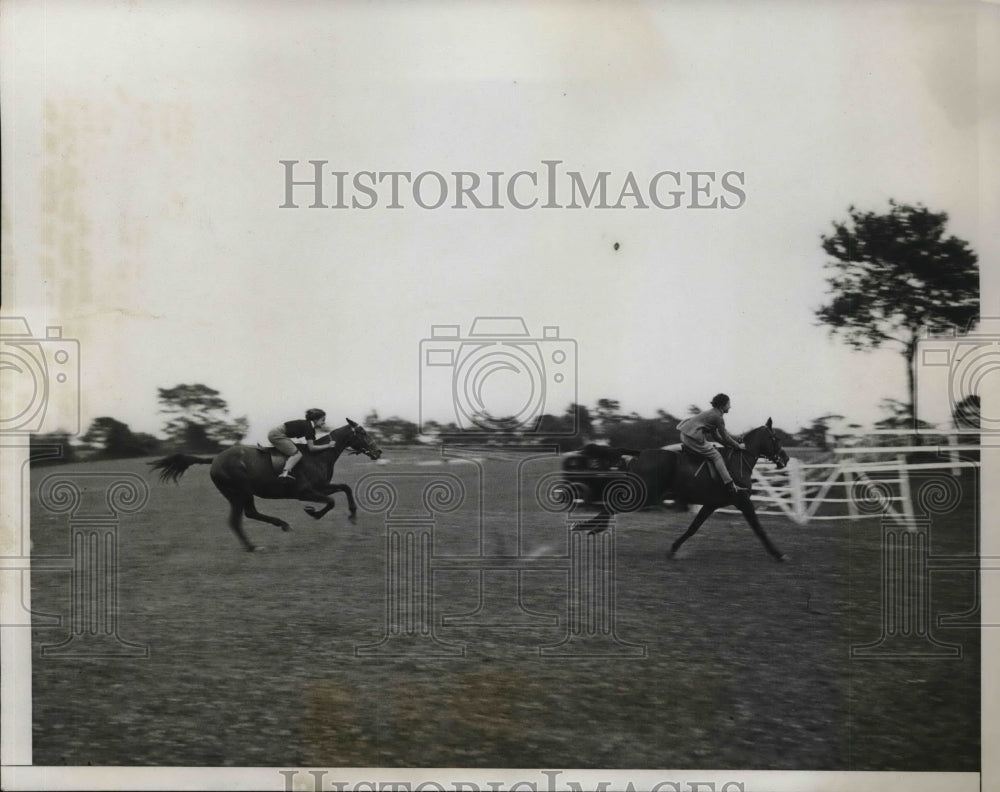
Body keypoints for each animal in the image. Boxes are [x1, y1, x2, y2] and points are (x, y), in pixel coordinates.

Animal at [148, 420, 382, 552]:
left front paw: (352, 515)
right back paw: (279, 527)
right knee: (248, 514)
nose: (378, 452)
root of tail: (215, 460)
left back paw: (252, 546)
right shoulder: (304, 492)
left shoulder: (322, 486)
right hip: (241, 490)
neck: (319, 455)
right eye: (362, 433)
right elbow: (331, 501)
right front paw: (312, 512)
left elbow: (345, 488)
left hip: (235, 495)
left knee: (238, 519)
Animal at [576, 418, 792, 560]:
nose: (786, 459)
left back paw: (589, 526)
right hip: (645, 495)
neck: (740, 462)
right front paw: (778, 554)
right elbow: (759, 529)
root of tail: (641, 452)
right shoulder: (743, 501)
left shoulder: (711, 504)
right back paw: (590, 527)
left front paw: (673, 549)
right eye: (775, 438)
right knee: (613, 505)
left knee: (611, 505)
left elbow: (693, 528)